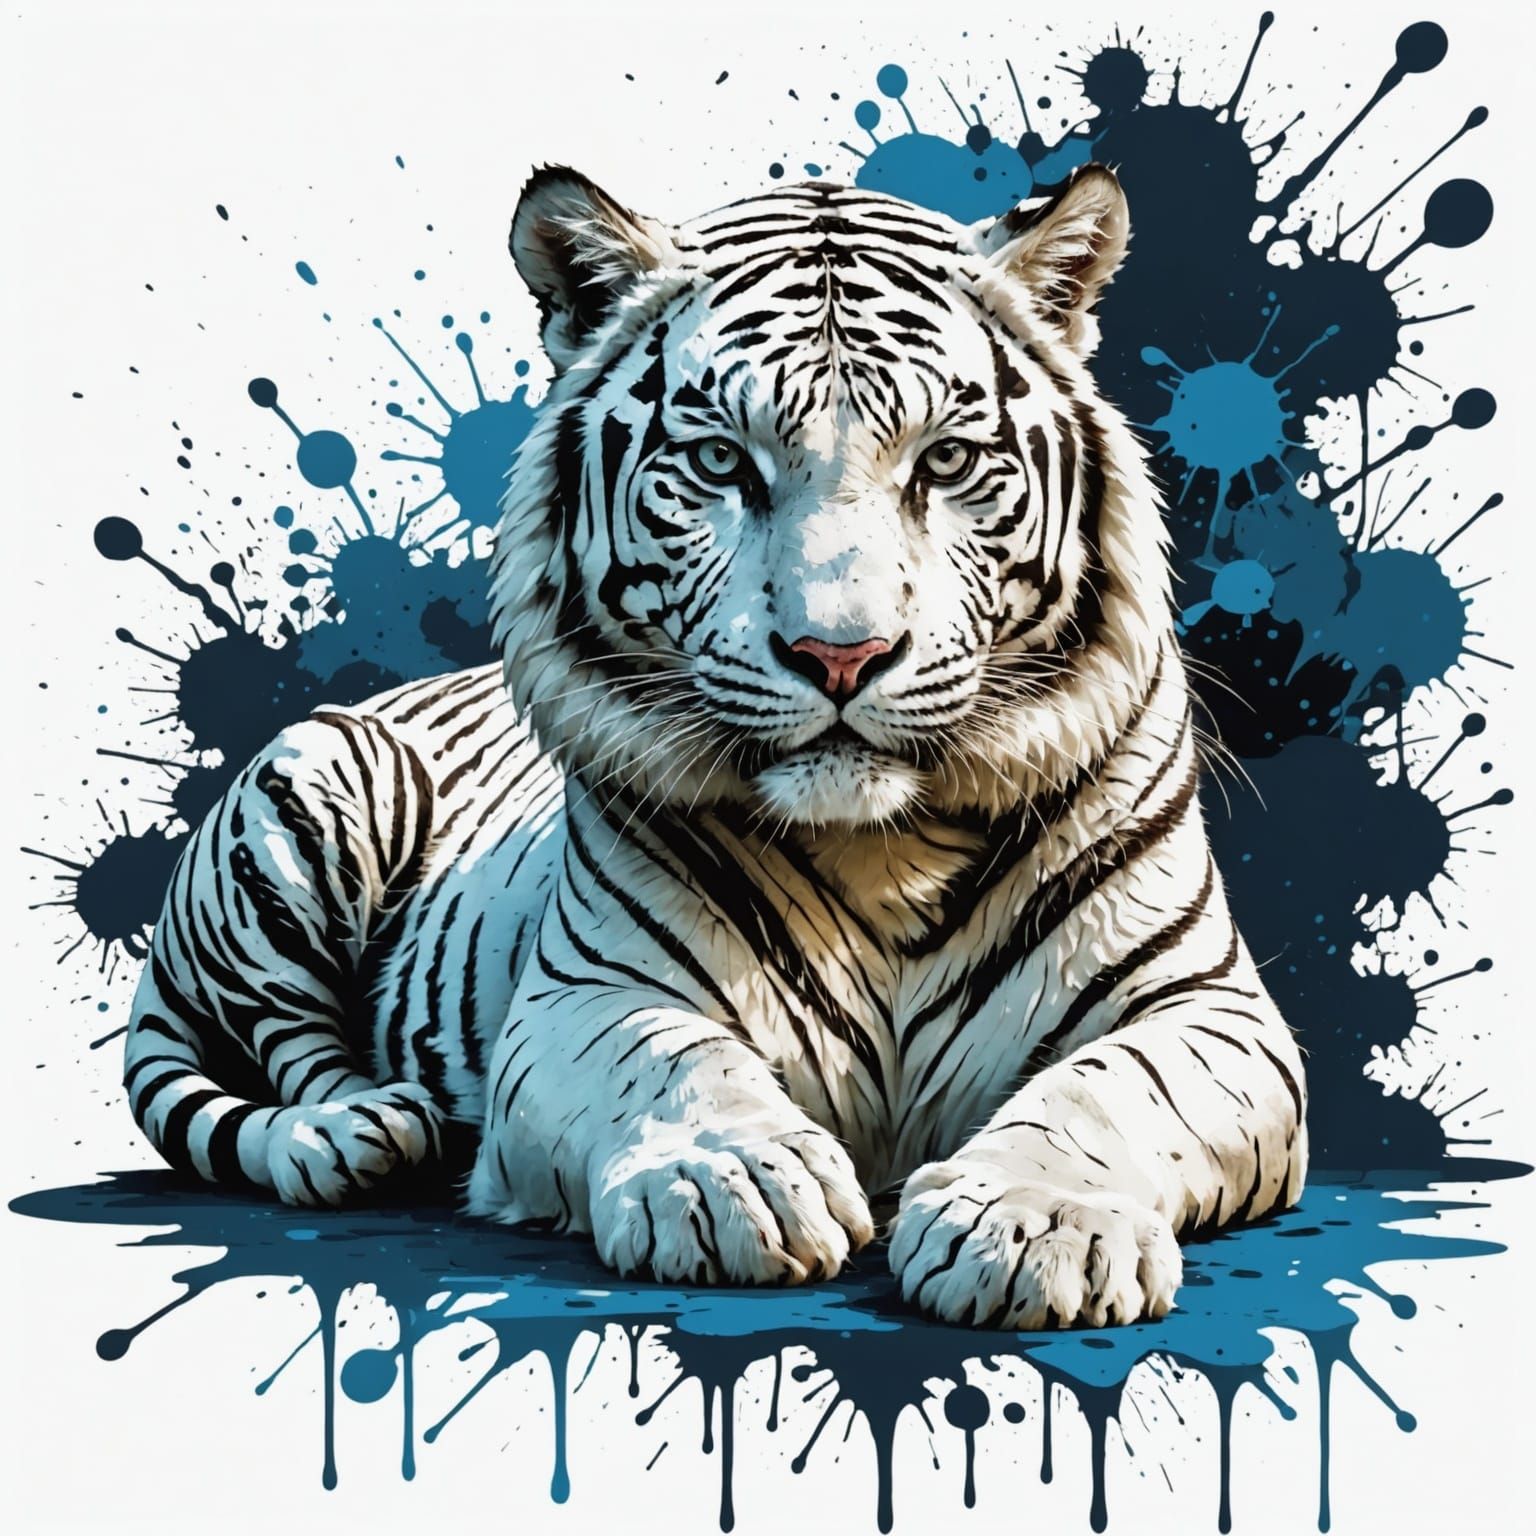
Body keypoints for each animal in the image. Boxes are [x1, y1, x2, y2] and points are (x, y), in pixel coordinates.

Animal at [121, 163, 1308, 1330]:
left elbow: (1108, 1091)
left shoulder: (1210, 1008)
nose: (842, 654)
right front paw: (729, 1181)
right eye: (719, 462)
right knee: (287, 1047)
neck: (887, 847)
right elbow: (670, 1061)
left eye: (946, 461)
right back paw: (358, 1132)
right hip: (310, 799)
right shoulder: (584, 993)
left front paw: (1037, 1225)